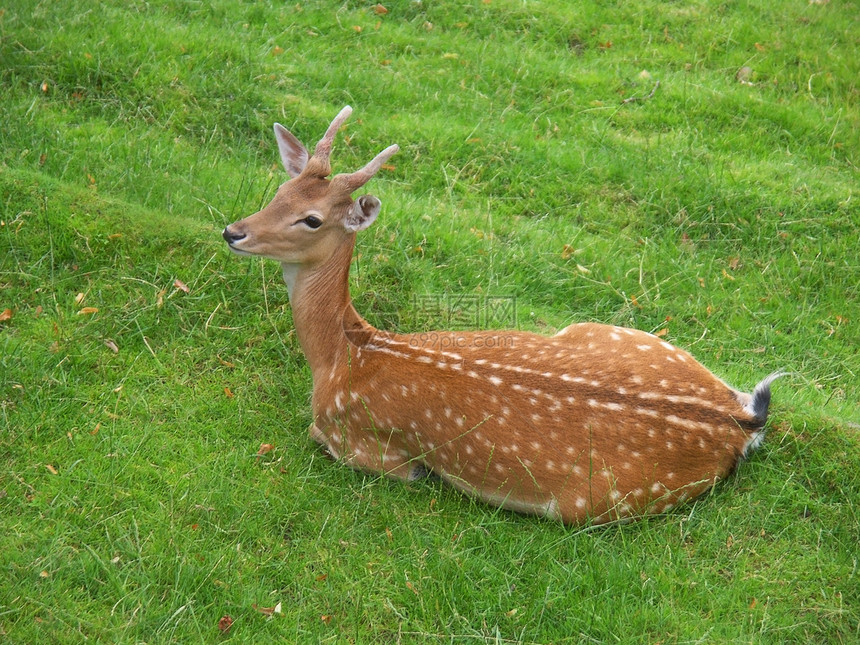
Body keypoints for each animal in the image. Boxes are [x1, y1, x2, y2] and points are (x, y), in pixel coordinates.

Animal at [220, 105, 780, 524]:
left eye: (312, 219)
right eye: (280, 191)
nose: (233, 232)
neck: (340, 357)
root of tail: (740, 421)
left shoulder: (359, 444)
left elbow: (327, 438)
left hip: (598, 503)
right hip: (613, 331)